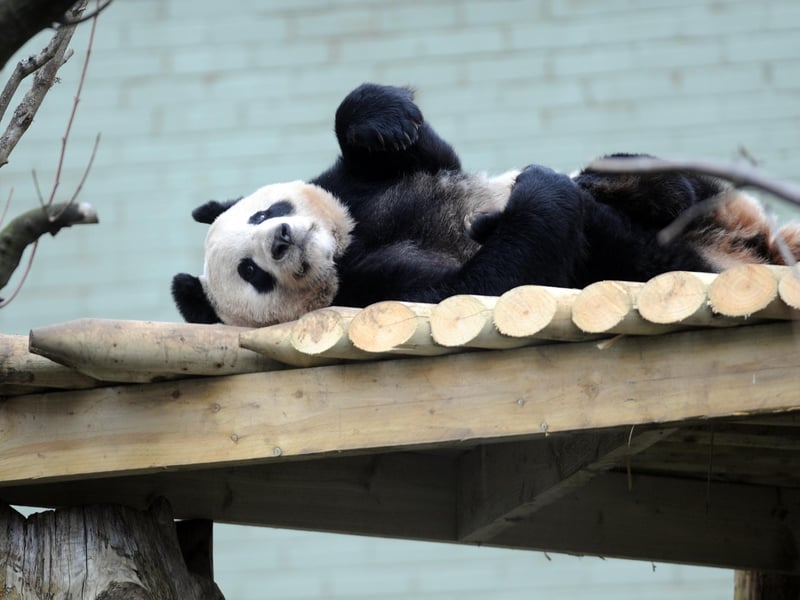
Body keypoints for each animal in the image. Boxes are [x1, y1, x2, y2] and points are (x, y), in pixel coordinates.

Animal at [172, 83, 800, 328]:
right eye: (252, 273)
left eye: (262, 215)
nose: (281, 241)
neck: (345, 247)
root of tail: (748, 252)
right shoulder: (371, 293)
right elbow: (480, 287)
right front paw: (538, 194)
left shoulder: (360, 189)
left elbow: (418, 152)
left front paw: (386, 122)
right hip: (660, 263)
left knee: (673, 186)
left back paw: (621, 184)